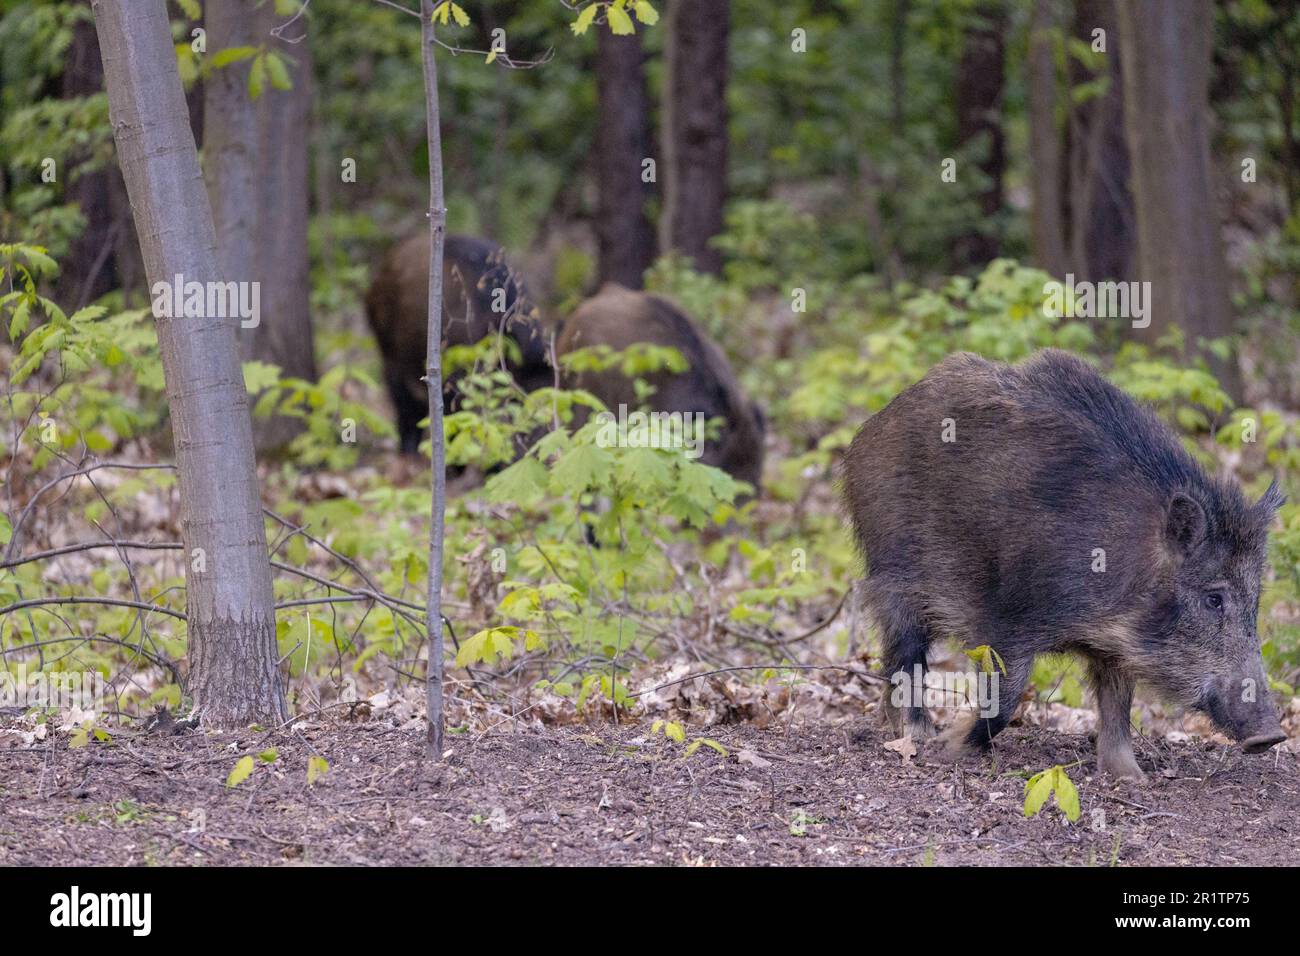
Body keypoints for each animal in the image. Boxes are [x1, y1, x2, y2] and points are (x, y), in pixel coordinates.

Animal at [841, 349, 1287, 781]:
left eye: (1256, 602)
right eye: (1214, 598)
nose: (1271, 735)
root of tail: (870, 429)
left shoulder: (1114, 645)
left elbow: (1117, 704)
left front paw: (1131, 778)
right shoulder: (1006, 621)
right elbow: (1004, 697)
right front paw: (949, 749)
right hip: (895, 575)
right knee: (903, 656)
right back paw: (917, 736)